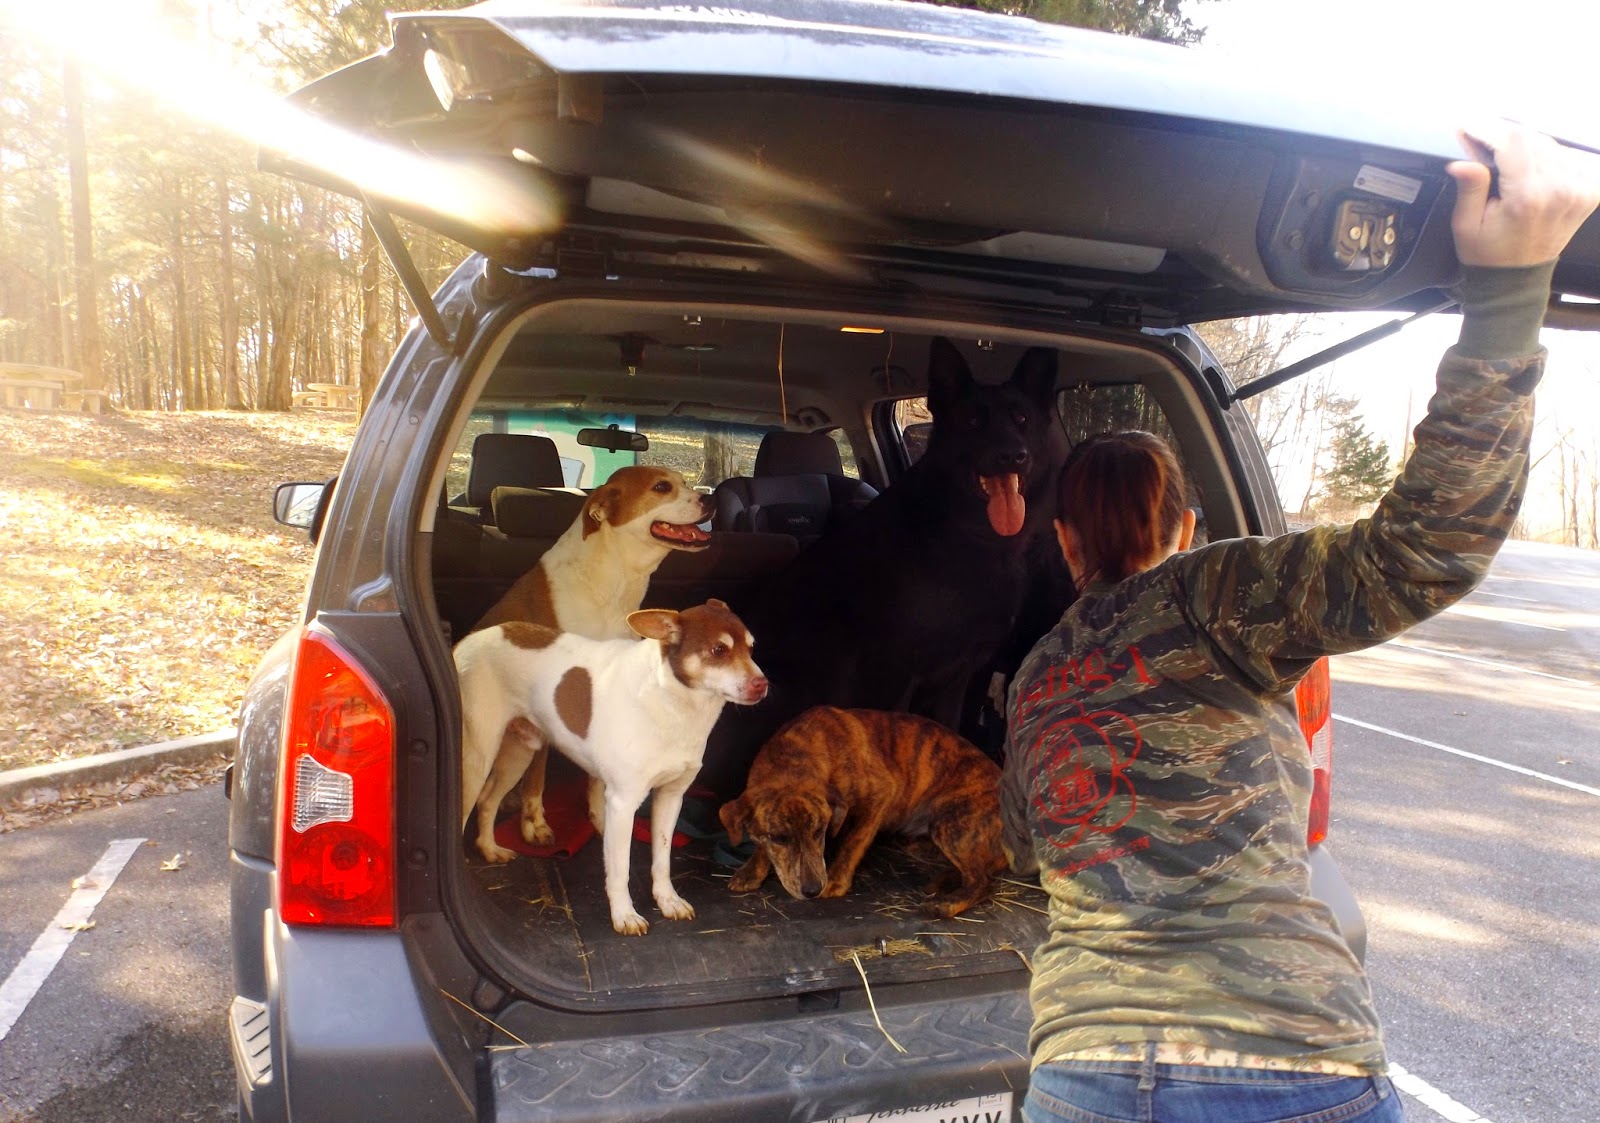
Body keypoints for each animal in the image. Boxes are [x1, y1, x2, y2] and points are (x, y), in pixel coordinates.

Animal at [456, 600, 768, 935]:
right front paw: (624, 915)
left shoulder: (671, 797)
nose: (762, 683)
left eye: (752, 648)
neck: (674, 702)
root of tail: (466, 642)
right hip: (477, 757)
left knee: (488, 800)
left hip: (519, 753)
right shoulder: (622, 803)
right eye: (718, 650)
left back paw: (490, 848)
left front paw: (667, 900)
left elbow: (662, 859)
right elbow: (620, 869)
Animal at [473, 464, 713, 846]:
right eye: (662, 487)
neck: (613, 584)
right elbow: (538, 776)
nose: (711, 500)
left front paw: (599, 819)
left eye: (684, 482)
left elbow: (598, 779)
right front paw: (534, 822)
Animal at [719, 706, 1008, 918]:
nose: (813, 890)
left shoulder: (880, 794)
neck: (794, 755)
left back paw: (947, 904)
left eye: (819, 832)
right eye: (779, 838)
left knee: (983, 881)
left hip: (949, 821)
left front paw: (836, 880)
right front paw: (751, 871)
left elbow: (853, 842)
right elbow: (761, 844)